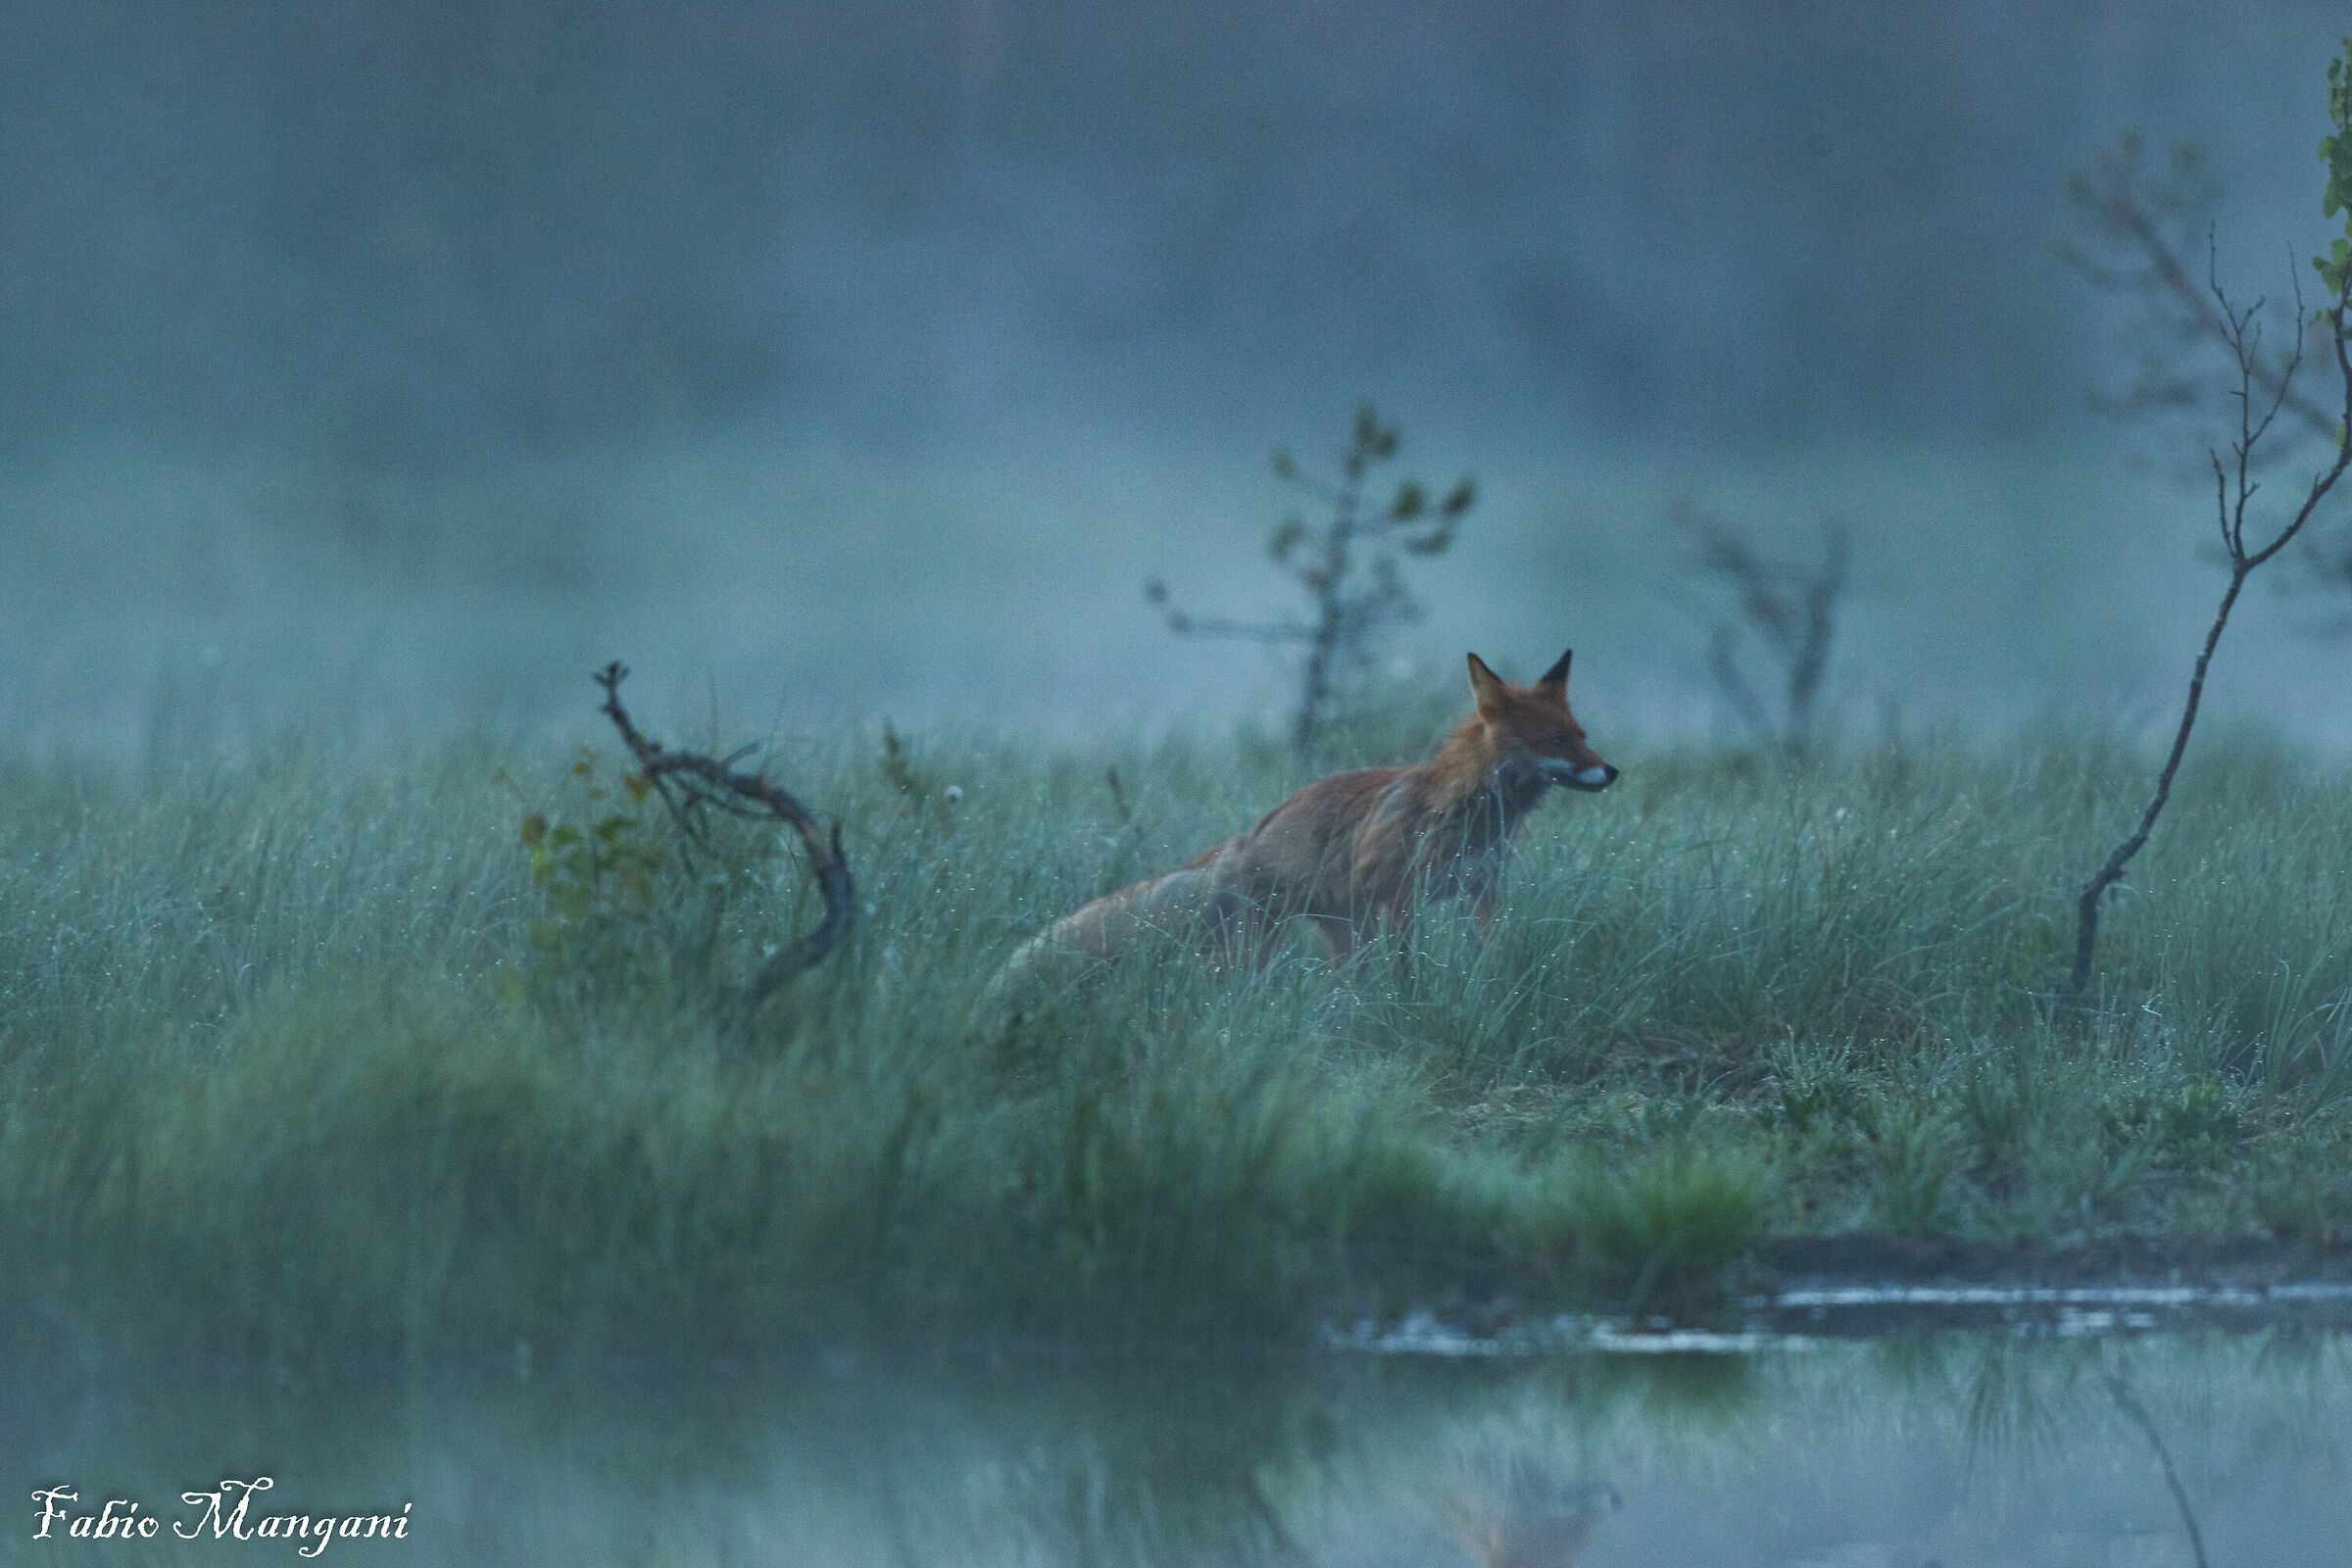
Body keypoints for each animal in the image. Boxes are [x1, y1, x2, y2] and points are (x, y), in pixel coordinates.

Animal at [998, 648, 1616, 988]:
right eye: (1558, 741)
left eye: (1582, 734)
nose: (1612, 771)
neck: (1474, 814)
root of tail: (1244, 838)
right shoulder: (1399, 895)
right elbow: (1407, 971)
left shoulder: (1481, 889)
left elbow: (1496, 952)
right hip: (1251, 948)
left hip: (1340, 934)